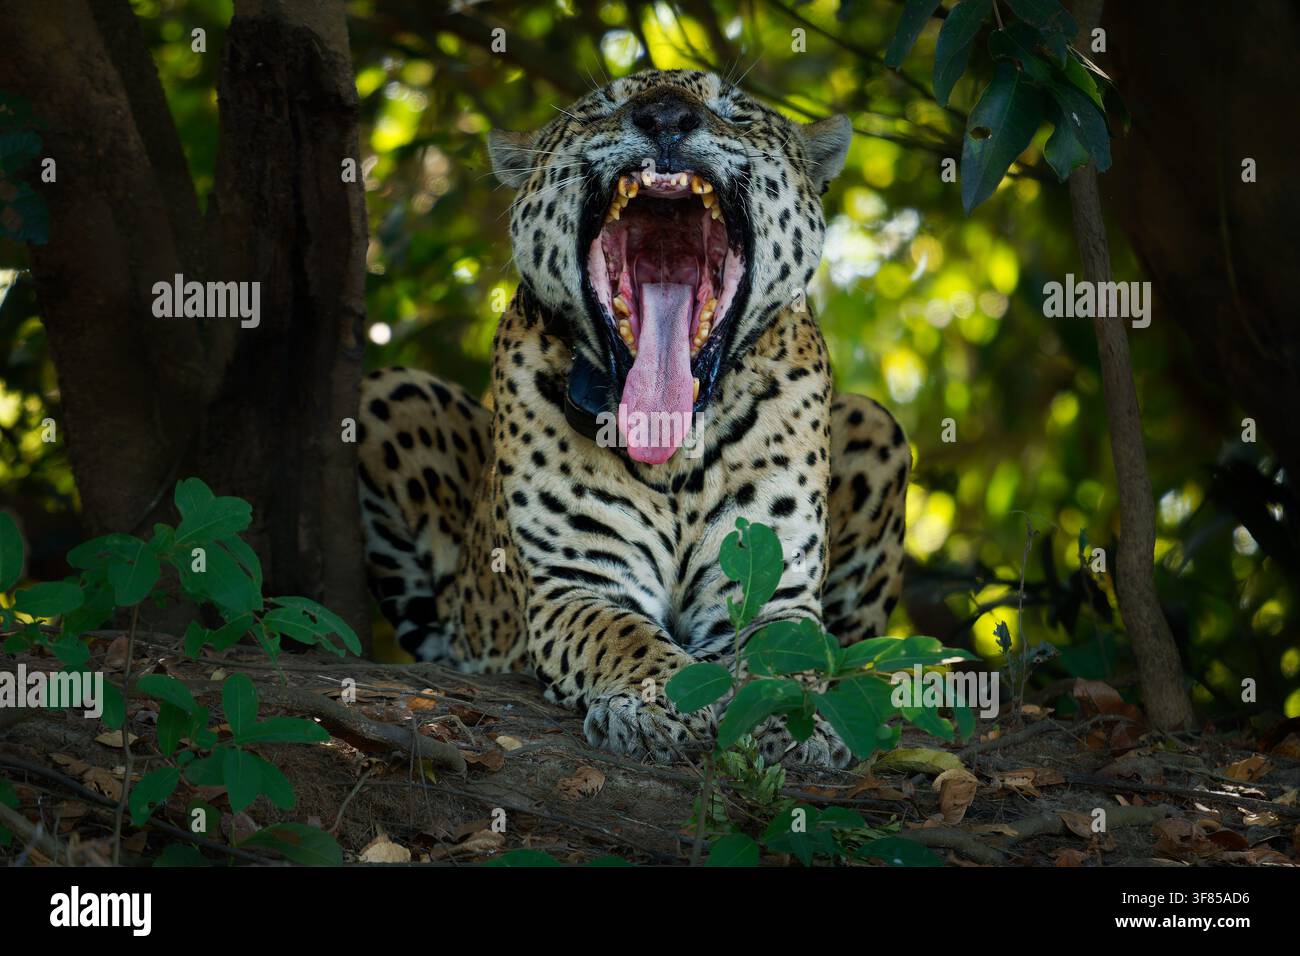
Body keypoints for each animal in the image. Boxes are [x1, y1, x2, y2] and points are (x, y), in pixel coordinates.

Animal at [356, 69, 910, 769]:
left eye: (735, 111)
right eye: (604, 107)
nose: (666, 119)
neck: (672, 450)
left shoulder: (773, 592)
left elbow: (787, 657)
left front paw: (793, 719)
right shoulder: (576, 582)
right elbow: (621, 635)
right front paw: (658, 705)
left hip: (878, 427)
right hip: (389, 394)